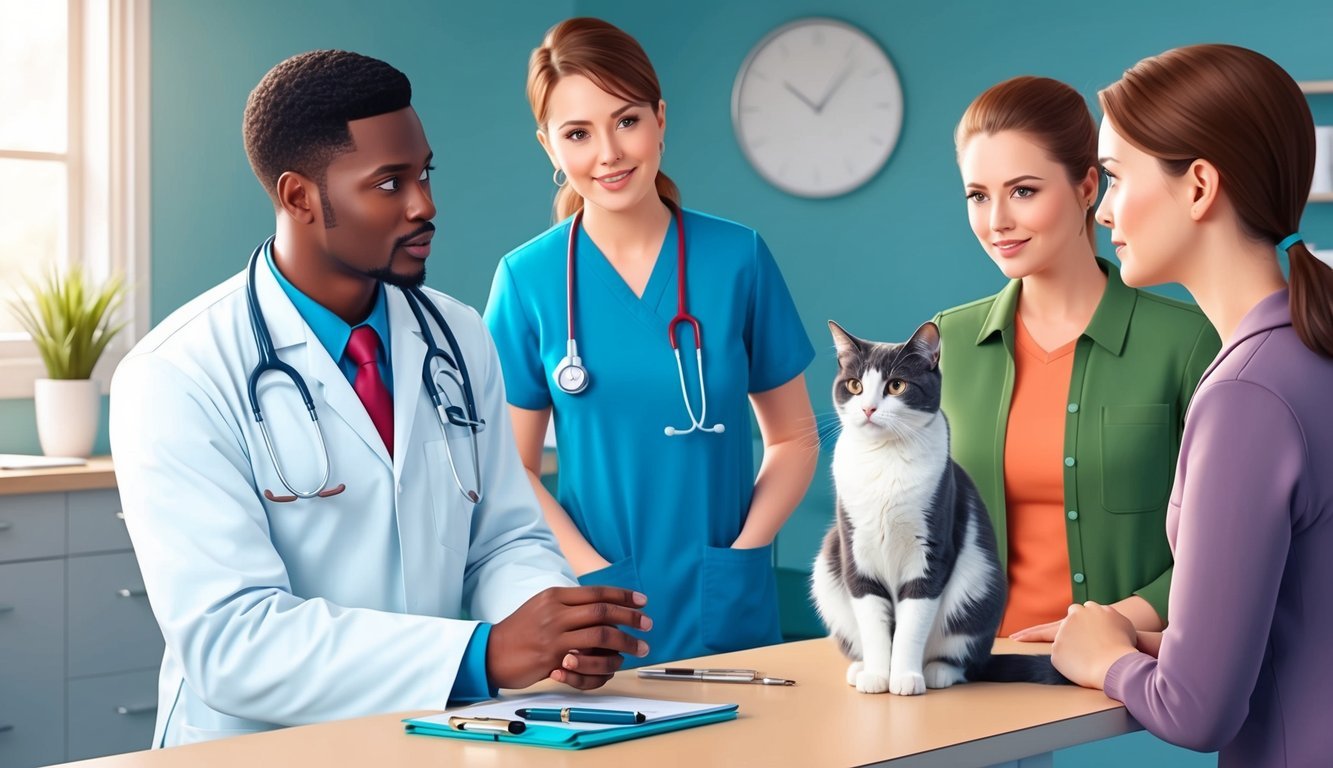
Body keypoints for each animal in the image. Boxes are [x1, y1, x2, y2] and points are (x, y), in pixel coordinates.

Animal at [810, 321, 1061, 693]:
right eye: (855, 385)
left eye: (896, 385)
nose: (868, 409)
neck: (885, 458)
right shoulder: (856, 549)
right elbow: (873, 623)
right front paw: (877, 675)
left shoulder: (931, 548)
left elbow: (911, 625)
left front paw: (904, 678)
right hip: (828, 568)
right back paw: (860, 668)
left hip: (979, 587)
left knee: (964, 659)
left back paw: (937, 672)